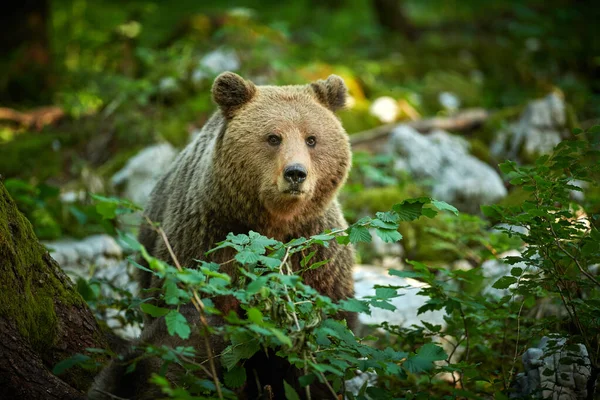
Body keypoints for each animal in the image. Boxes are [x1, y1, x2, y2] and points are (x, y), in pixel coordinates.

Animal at [88, 72, 352, 400]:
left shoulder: (315, 251)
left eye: (311, 138)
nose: (295, 173)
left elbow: (326, 331)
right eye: (273, 137)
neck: (272, 222)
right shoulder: (209, 240)